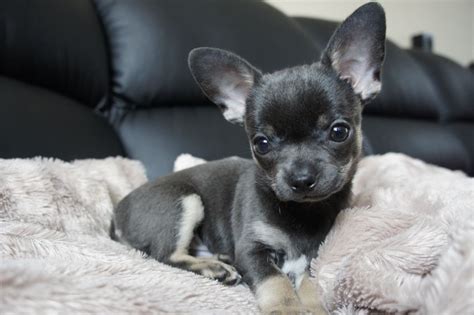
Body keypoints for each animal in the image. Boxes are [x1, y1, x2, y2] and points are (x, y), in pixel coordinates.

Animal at [114, 3, 386, 315]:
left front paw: (313, 306)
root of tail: (117, 211)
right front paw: (285, 308)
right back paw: (215, 269)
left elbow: (310, 283)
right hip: (183, 201)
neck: (302, 213)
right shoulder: (252, 251)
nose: (301, 179)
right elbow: (275, 280)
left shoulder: (315, 256)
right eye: (262, 144)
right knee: (166, 255)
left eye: (339, 132)